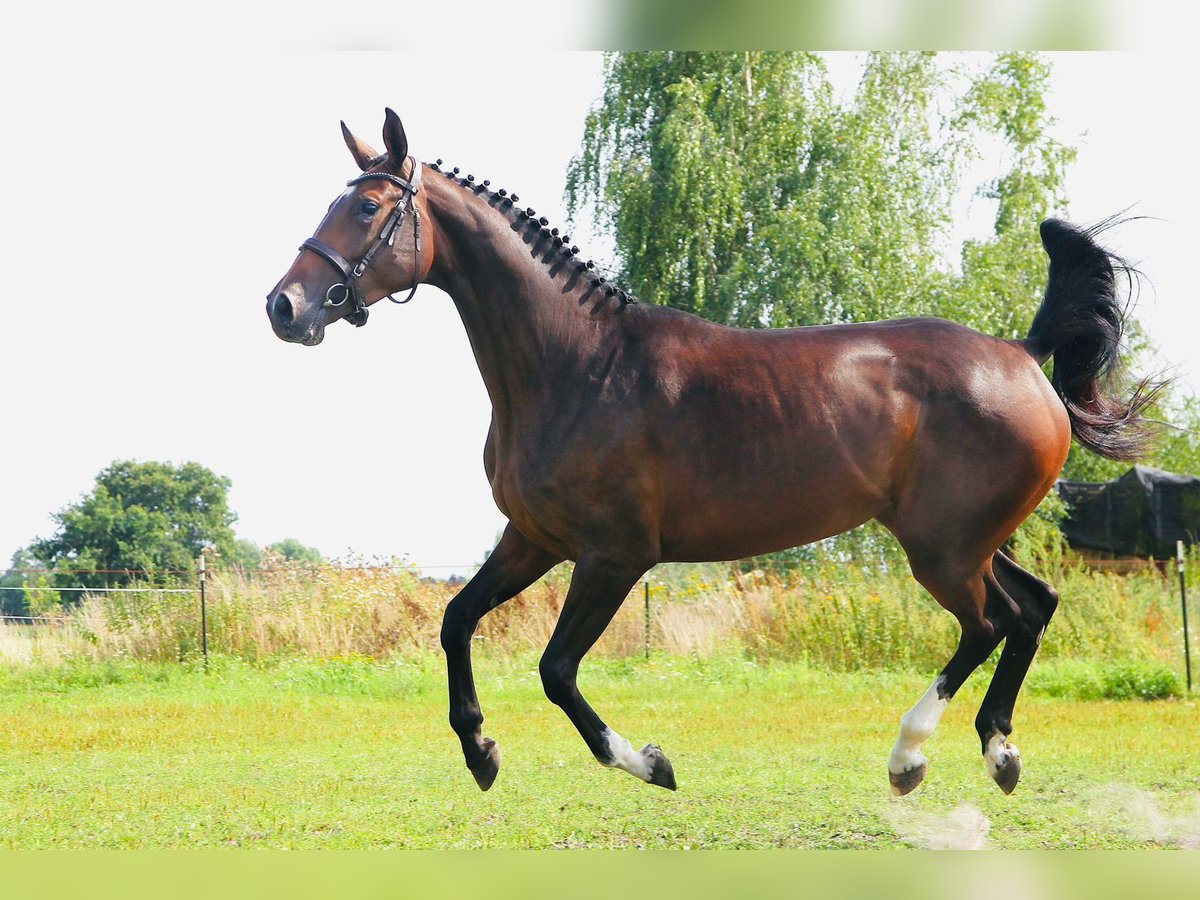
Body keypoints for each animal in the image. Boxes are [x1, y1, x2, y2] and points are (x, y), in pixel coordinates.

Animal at [266, 109, 1158, 797]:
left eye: (369, 205)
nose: (285, 306)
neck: (576, 365)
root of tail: (1022, 354)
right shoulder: (535, 540)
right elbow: (456, 622)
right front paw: (481, 752)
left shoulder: (614, 556)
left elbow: (557, 670)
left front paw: (649, 763)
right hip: (968, 539)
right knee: (1032, 608)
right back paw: (999, 750)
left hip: (942, 550)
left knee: (991, 623)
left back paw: (909, 758)